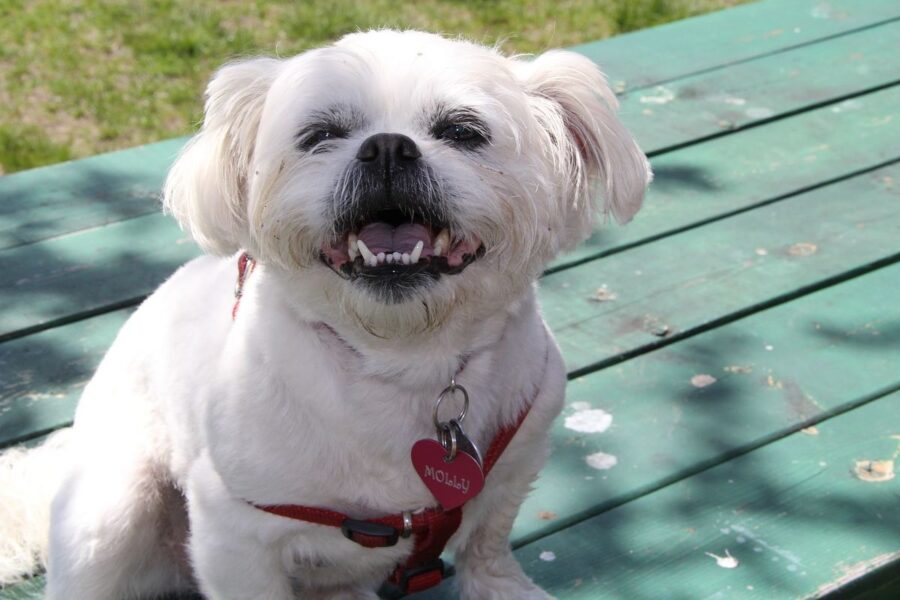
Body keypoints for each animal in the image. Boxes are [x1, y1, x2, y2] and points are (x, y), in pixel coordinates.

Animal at [0, 30, 648, 596]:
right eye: (319, 135)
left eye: (463, 132)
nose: (387, 147)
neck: (405, 365)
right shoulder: (233, 536)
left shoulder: (515, 465)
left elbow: (487, 547)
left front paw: (504, 590)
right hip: (111, 514)